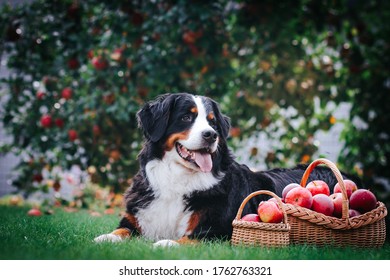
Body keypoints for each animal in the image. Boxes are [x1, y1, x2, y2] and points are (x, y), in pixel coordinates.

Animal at [93, 93, 360, 246]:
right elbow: (120, 230)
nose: (211, 135)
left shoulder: (216, 230)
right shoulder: (136, 219)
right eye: (186, 117)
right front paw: (104, 238)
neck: (178, 178)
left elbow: (185, 239)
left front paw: (166, 244)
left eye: (212, 121)